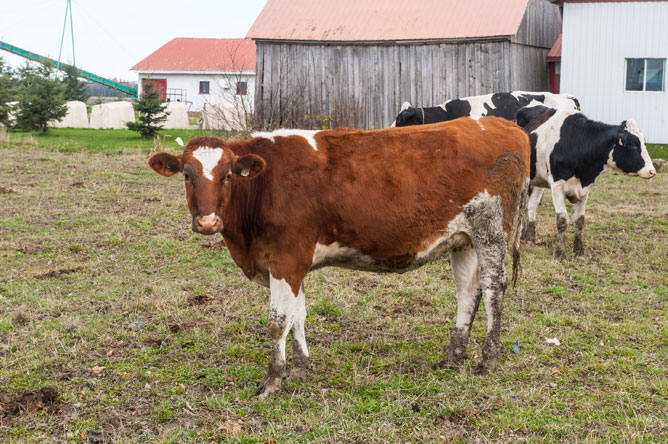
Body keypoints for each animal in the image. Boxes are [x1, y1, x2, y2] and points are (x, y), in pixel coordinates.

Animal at [150, 119, 532, 398]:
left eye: (227, 175)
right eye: (187, 175)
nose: (207, 222)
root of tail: (504, 125)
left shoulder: (285, 258)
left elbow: (278, 322)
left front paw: (272, 380)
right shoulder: (293, 262)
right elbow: (298, 316)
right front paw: (302, 368)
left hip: (491, 230)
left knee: (494, 290)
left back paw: (488, 359)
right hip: (463, 239)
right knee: (467, 294)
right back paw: (453, 358)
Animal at [516, 105, 656, 258]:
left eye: (644, 143)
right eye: (633, 146)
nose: (652, 171)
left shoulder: (585, 187)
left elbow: (579, 220)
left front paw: (579, 252)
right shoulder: (557, 185)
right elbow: (562, 220)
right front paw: (560, 253)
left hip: (538, 178)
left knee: (532, 205)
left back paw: (529, 238)